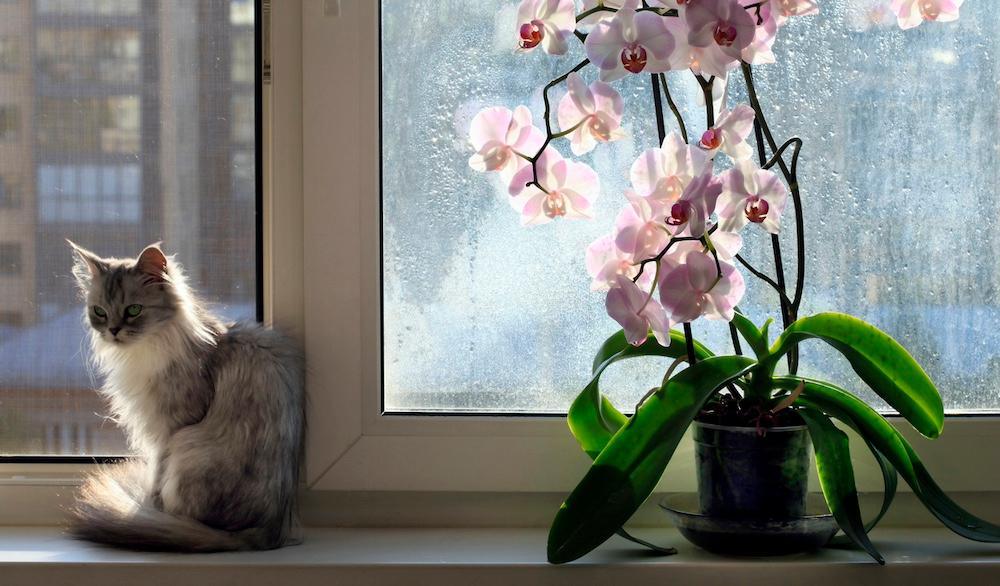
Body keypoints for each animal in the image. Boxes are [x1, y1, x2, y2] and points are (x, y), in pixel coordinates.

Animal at [67, 240, 304, 548]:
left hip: (186, 445)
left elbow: (157, 475)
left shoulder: (168, 429)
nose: (113, 330)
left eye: (133, 310)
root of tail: (261, 534)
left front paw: (152, 506)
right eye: (99, 312)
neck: (146, 349)